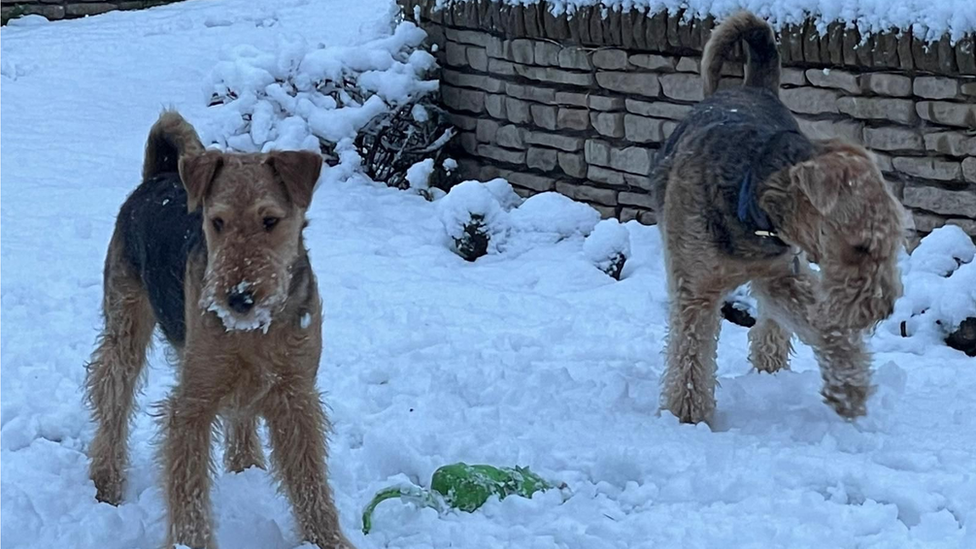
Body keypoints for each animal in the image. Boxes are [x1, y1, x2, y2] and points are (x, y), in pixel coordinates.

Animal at [82, 111, 352, 548]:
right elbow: (189, 489)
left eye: (270, 220)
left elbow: (310, 483)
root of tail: (157, 175)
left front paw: (328, 540)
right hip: (127, 328)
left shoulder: (296, 394)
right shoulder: (191, 403)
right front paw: (189, 541)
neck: (255, 330)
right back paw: (106, 481)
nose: (238, 298)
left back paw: (248, 467)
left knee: (240, 416)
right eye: (217, 222)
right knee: (112, 397)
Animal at [652, 11, 904, 424]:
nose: (884, 308)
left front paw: (848, 390)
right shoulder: (695, 291)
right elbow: (690, 360)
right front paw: (688, 420)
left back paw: (769, 367)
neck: (749, 198)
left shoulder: (781, 276)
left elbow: (825, 327)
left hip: (785, 270)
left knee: (772, 324)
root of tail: (755, 87)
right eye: (861, 246)